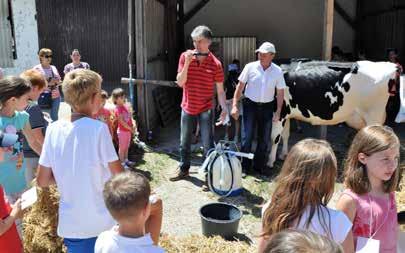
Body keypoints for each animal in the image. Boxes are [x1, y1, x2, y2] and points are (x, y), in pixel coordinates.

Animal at [266, 60, 396, 168]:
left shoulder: (279, 112)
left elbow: (274, 137)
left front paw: (270, 161)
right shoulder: (286, 114)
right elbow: (285, 135)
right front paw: (283, 155)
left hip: (373, 116)